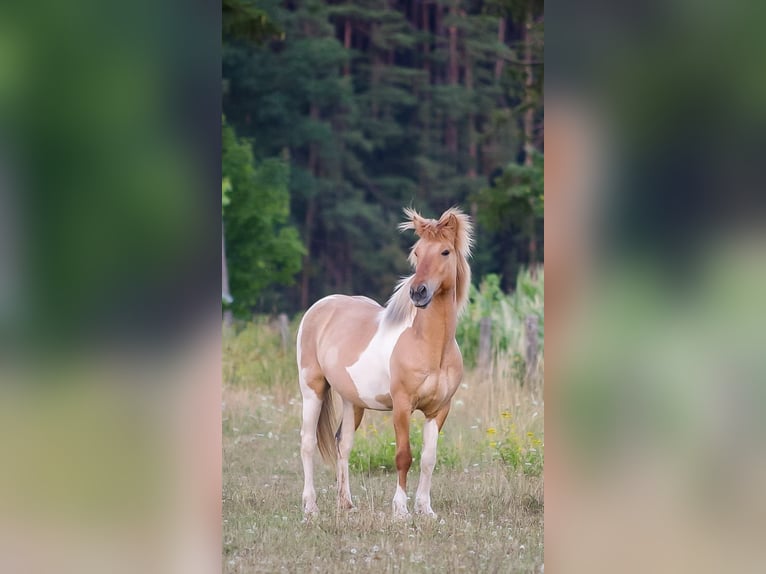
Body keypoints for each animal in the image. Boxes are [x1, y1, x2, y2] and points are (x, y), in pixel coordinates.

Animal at [296, 206, 473, 519]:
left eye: (445, 252)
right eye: (417, 252)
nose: (418, 292)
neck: (429, 346)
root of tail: (321, 305)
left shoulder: (439, 409)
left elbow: (429, 458)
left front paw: (425, 510)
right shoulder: (402, 406)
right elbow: (403, 456)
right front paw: (401, 510)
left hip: (352, 401)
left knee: (344, 444)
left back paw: (346, 503)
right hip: (312, 389)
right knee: (307, 442)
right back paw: (311, 506)